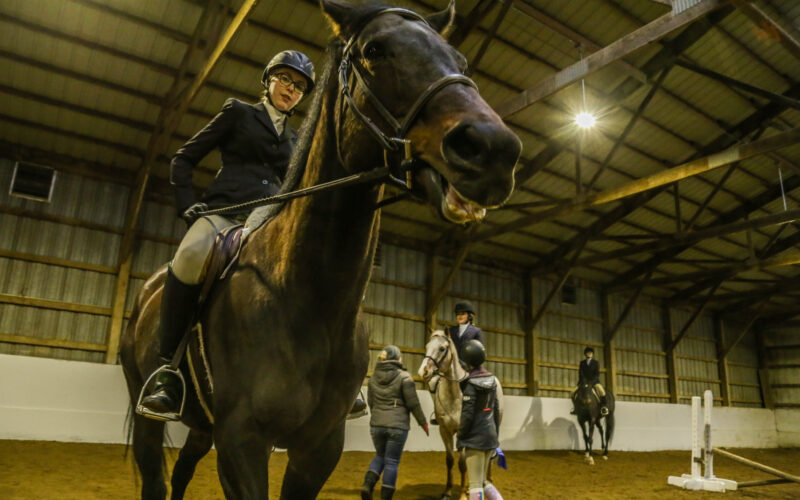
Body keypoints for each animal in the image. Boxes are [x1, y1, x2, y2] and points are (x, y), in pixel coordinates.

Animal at [117, 0, 520, 498]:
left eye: (461, 61)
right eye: (375, 49)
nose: (495, 150)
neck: (309, 298)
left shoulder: (320, 447)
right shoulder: (241, 440)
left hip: (202, 426)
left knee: (183, 470)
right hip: (149, 412)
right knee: (155, 473)